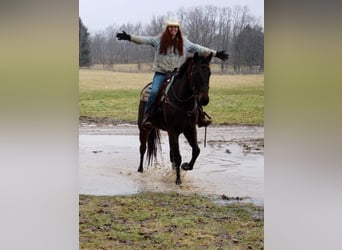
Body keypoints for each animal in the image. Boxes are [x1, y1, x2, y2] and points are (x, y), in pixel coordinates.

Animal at [138, 52, 212, 186]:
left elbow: (196, 150)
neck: (183, 101)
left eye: (209, 73)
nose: (204, 99)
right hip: (144, 128)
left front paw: (186, 166)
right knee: (143, 148)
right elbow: (177, 156)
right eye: (196, 73)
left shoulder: (189, 129)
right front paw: (178, 179)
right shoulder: (173, 130)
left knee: (171, 152)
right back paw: (140, 170)